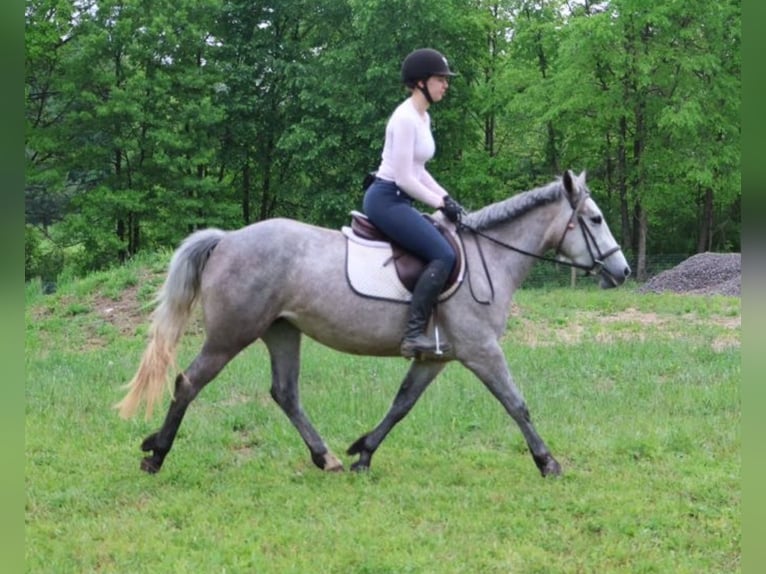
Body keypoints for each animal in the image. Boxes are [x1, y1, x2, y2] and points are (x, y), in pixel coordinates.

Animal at [116, 169, 631, 477]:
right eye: (595, 219)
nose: (623, 271)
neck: (491, 257)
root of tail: (226, 240)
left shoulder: (436, 357)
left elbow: (402, 403)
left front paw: (363, 452)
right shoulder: (482, 350)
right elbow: (517, 404)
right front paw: (547, 461)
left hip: (282, 331)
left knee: (285, 393)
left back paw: (324, 457)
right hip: (230, 336)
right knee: (188, 383)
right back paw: (157, 454)